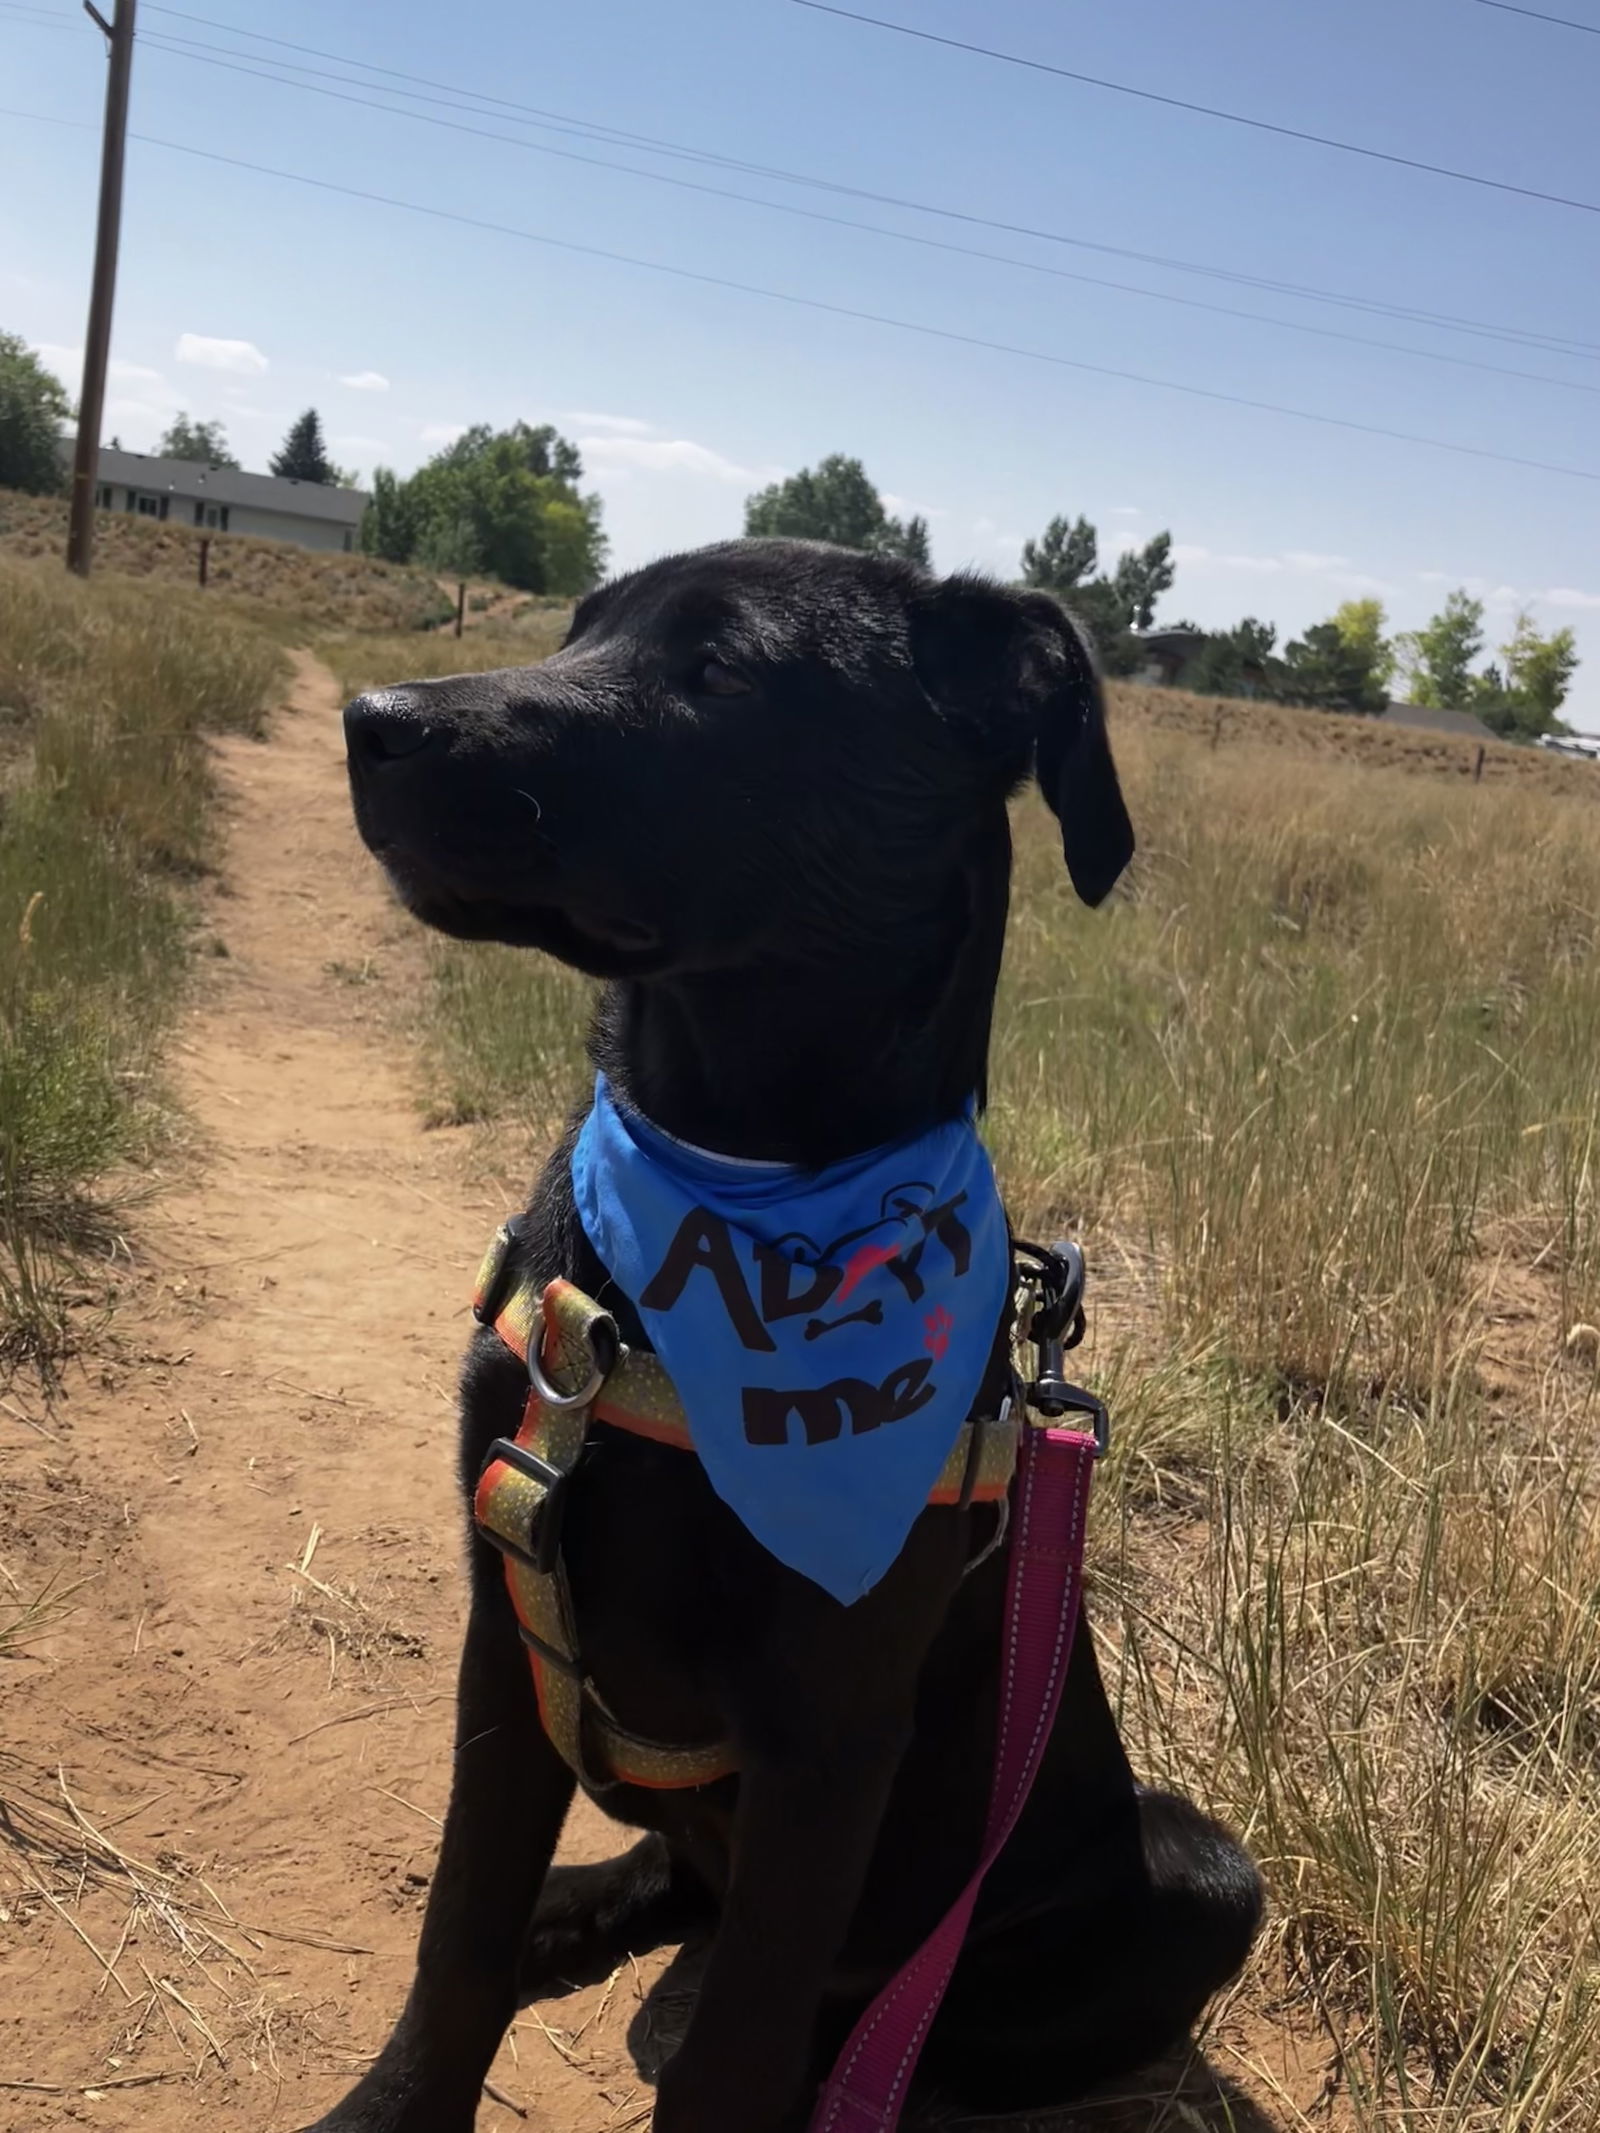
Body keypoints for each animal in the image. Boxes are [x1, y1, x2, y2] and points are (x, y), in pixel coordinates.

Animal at [320, 541, 1262, 2124]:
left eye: (722, 671)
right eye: (575, 630)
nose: (369, 723)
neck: (739, 1188)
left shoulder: (830, 1734)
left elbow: (736, 2051)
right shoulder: (508, 1624)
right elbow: (459, 1933)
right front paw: (394, 2101)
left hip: (1201, 1877)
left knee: (878, 2016)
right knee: (673, 1887)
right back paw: (577, 1910)